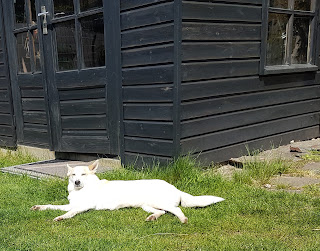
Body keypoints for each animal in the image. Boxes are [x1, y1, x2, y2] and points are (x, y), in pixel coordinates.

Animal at [30, 160, 225, 223]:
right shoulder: (71, 204)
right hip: (147, 205)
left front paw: (62, 218)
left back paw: (183, 219)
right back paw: (153, 217)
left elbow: (69, 213)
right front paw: (40, 207)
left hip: (161, 202)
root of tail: (175, 187)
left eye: (83, 174)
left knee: (177, 210)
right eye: (73, 175)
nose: (77, 182)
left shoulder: (82, 207)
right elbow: (51, 205)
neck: (82, 190)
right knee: (161, 212)